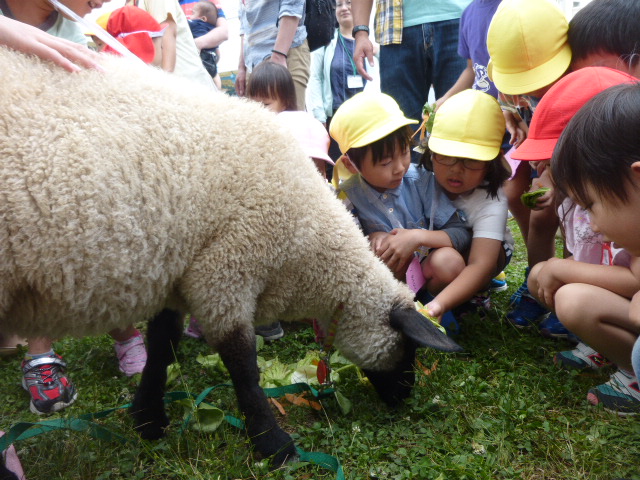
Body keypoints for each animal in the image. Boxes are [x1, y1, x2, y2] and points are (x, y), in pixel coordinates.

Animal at [0, 47, 460, 474]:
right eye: (408, 349)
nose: (405, 397)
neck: (308, 248)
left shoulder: (182, 272)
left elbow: (162, 344)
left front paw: (148, 418)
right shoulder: (226, 268)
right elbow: (242, 365)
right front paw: (274, 444)